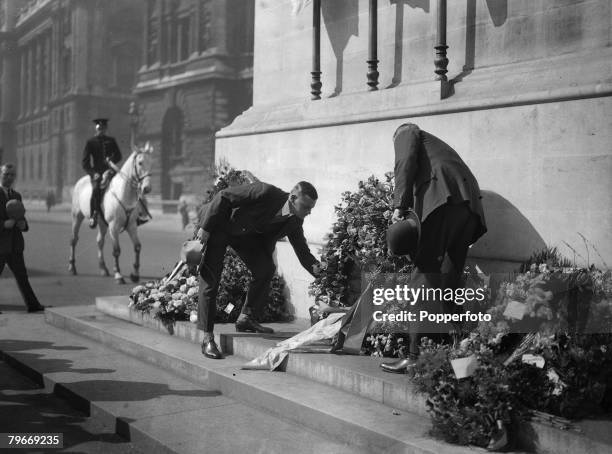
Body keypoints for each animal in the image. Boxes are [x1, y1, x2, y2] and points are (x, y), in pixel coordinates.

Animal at [70, 144, 153, 284]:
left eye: (151, 162)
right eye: (140, 163)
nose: (147, 188)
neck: (123, 193)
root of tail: (81, 181)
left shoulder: (131, 226)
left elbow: (137, 246)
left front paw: (135, 275)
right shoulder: (114, 227)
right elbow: (116, 250)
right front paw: (118, 275)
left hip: (102, 223)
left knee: (100, 241)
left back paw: (103, 268)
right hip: (77, 217)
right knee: (74, 240)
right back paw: (72, 267)